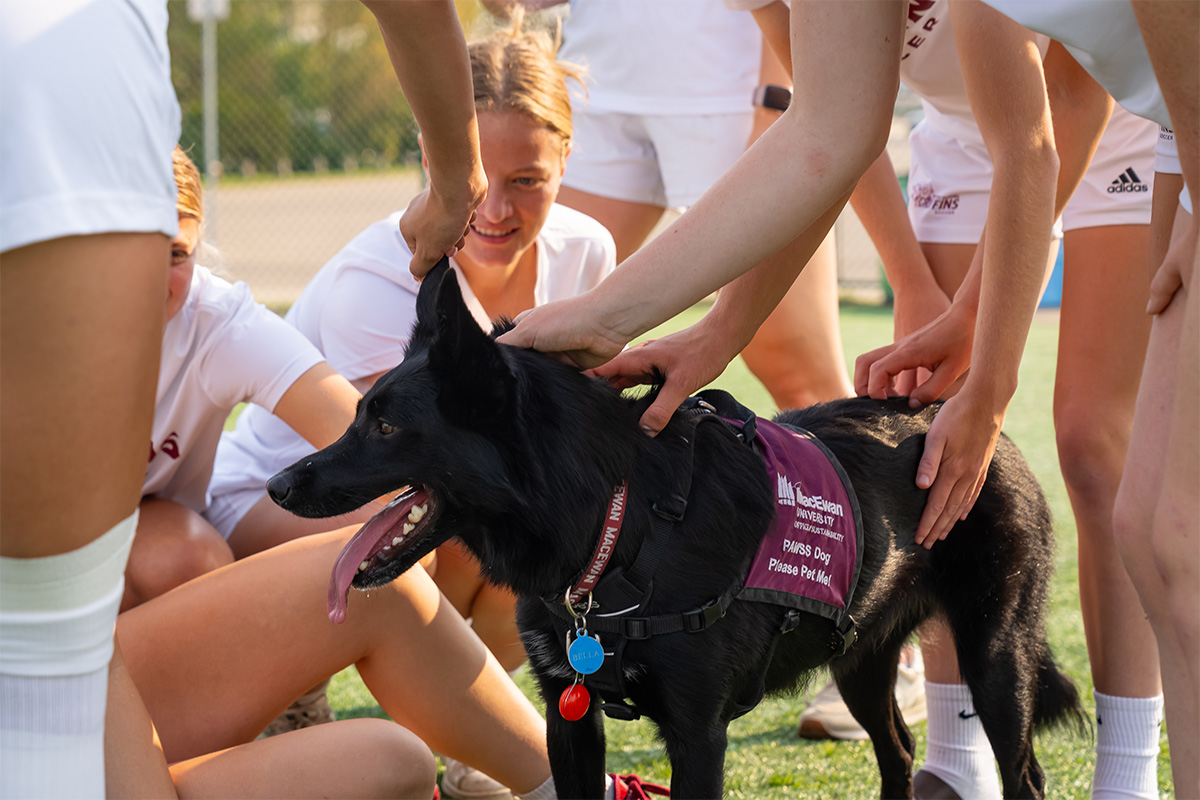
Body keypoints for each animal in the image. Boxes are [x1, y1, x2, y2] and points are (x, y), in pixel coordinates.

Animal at [267, 262, 1084, 800]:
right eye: (358, 414)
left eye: (385, 425)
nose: (279, 486)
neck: (617, 528)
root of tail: (969, 422)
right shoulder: (569, 720)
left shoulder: (698, 736)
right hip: (860, 660)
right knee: (899, 756)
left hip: (996, 658)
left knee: (1022, 777)